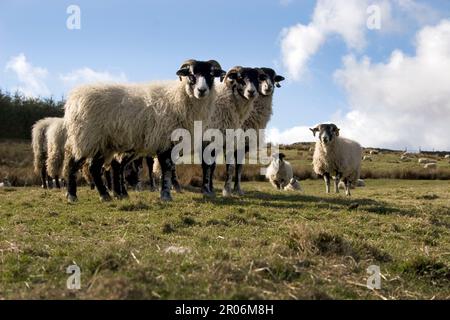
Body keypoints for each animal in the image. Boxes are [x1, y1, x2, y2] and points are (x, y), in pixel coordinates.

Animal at [200, 66, 260, 198]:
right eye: (240, 77)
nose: (251, 92)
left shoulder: (228, 139)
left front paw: (226, 190)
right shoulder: (209, 139)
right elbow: (207, 165)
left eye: (257, 78)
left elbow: (230, 167)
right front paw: (206, 190)